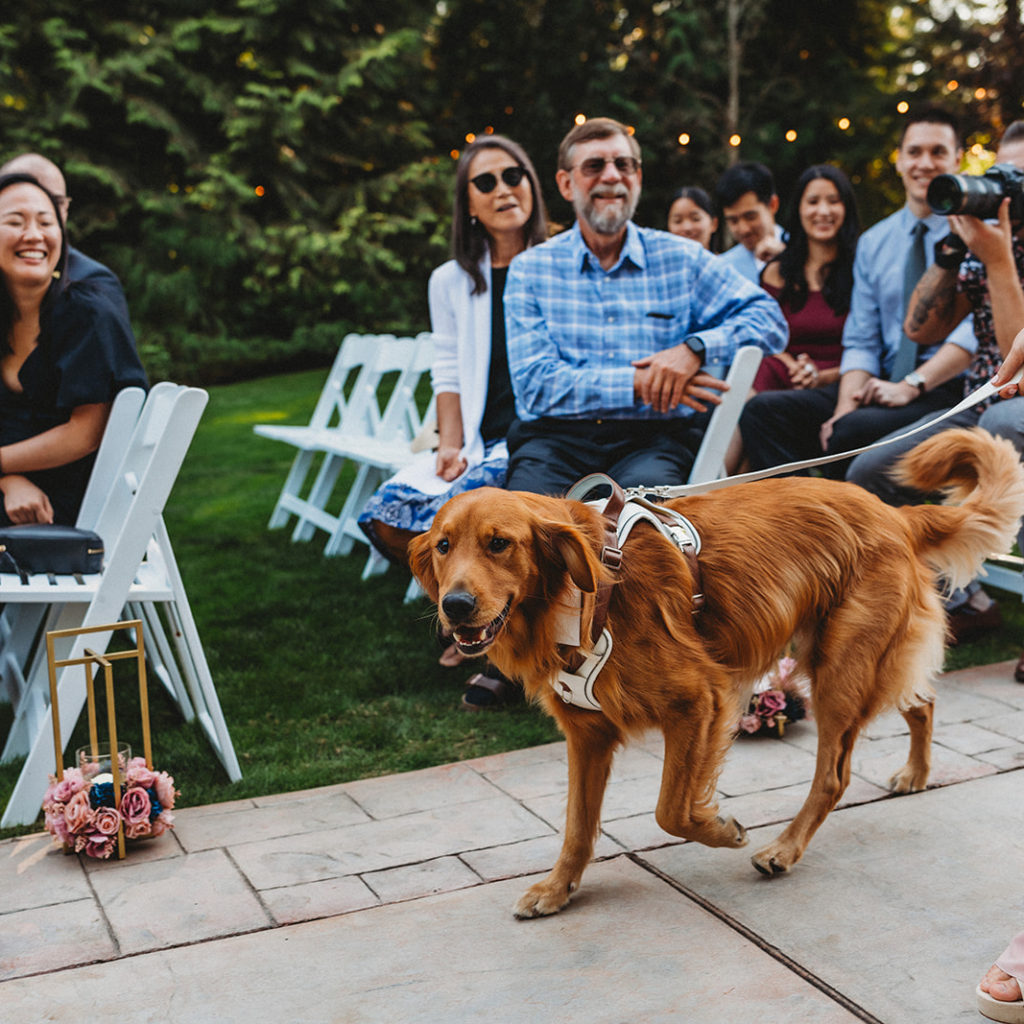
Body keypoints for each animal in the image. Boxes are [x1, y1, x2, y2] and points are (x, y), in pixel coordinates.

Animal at [407, 428, 1024, 917]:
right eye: (443, 546)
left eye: (499, 544)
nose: (456, 606)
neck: (578, 596)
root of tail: (893, 512)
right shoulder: (587, 732)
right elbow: (578, 824)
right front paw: (559, 889)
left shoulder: (698, 701)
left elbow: (670, 810)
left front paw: (722, 832)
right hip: (863, 660)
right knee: (921, 699)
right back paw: (917, 772)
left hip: (839, 669)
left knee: (834, 776)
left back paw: (784, 848)